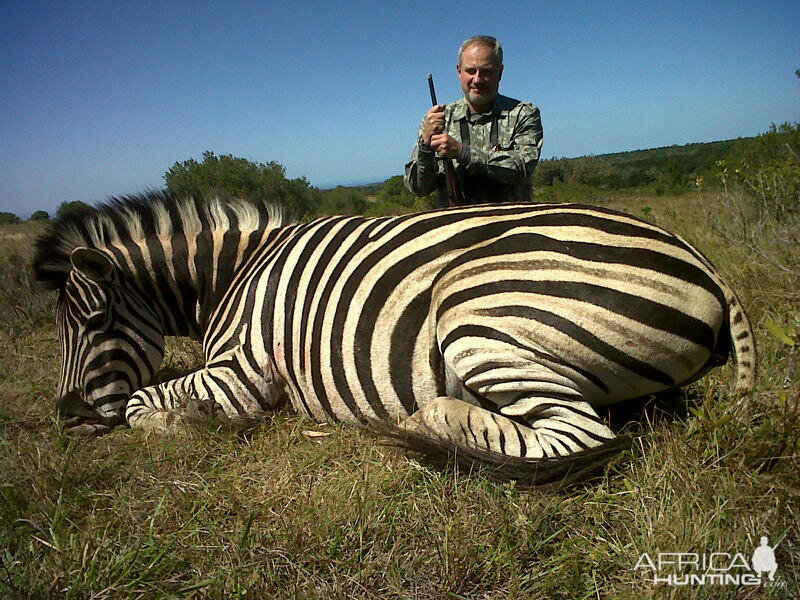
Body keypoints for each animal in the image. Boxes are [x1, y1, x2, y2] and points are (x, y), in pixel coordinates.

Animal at [31, 192, 756, 488]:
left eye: (94, 323)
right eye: (64, 327)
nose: (66, 420)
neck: (234, 272)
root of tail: (699, 258)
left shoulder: (245, 371)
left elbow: (140, 405)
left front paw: (186, 423)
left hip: (473, 307)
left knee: (579, 436)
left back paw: (426, 424)